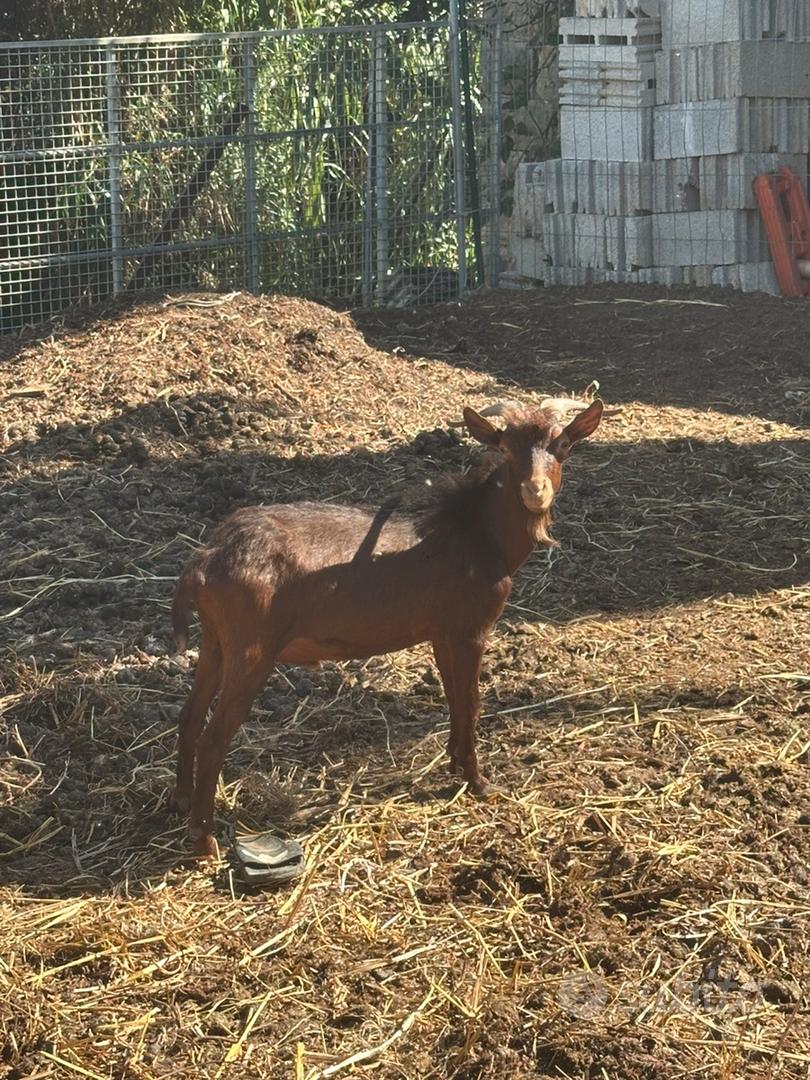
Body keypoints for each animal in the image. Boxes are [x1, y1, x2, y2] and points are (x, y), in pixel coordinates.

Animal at [170, 398, 604, 856]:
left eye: (563, 445)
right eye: (504, 449)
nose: (535, 491)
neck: (478, 533)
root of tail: (205, 558)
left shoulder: (442, 632)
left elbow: (453, 698)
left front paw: (455, 762)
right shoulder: (471, 628)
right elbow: (471, 701)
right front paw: (479, 781)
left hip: (217, 642)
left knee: (190, 715)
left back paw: (179, 802)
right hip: (251, 649)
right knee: (215, 737)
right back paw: (204, 840)